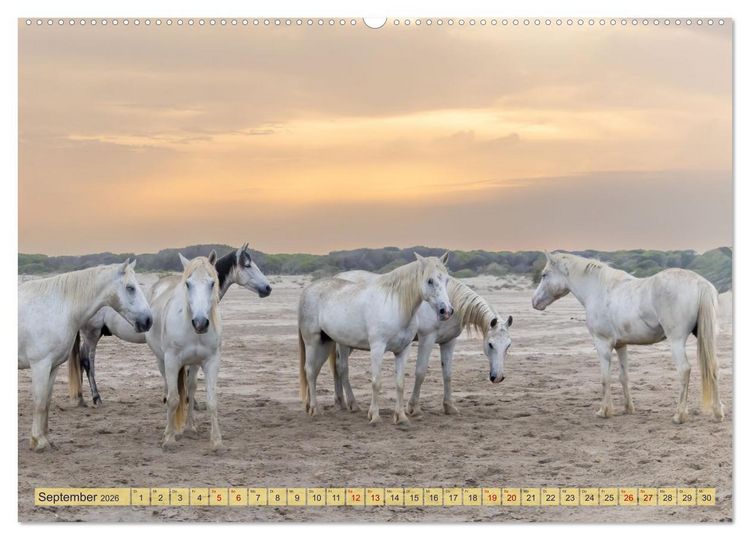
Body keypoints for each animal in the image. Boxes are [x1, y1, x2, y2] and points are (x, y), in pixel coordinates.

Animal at [18, 260, 152, 451]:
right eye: (130, 288)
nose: (148, 320)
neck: (56, 308)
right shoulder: (40, 365)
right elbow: (39, 402)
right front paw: (39, 442)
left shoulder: (53, 367)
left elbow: (47, 402)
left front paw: (45, 439)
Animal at [68, 243, 271, 407]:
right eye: (247, 265)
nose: (267, 288)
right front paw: (189, 401)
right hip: (92, 334)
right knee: (87, 361)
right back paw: (96, 397)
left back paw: (82, 398)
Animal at [298, 253, 454, 425]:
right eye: (430, 280)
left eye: (447, 280)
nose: (446, 311)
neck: (395, 305)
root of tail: (308, 290)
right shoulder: (377, 348)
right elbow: (376, 382)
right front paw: (374, 417)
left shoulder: (403, 350)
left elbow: (400, 383)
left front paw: (401, 417)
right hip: (312, 342)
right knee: (310, 371)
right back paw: (315, 409)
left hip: (326, 343)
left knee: (319, 371)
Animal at [331, 271, 513, 416]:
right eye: (490, 344)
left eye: (508, 345)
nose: (497, 377)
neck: (448, 302)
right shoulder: (427, 338)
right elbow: (420, 372)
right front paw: (413, 408)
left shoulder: (448, 342)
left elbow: (447, 373)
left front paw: (449, 406)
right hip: (345, 342)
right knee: (342, 368)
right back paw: (352, 404)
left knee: (337, 367)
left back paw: (341, 402)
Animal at [531, 251, 724, 424]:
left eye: (544, 275)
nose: (534, 302)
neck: (599, 290)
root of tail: (700, 283)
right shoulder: (621, 345)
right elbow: (623, 377)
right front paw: (628, 408)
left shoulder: (602, 344)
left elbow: (605, 378)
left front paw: (604, 411)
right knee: (713, 367)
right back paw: (718, 412)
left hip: (676, 341)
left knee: (684, 370)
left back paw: (679, 415)